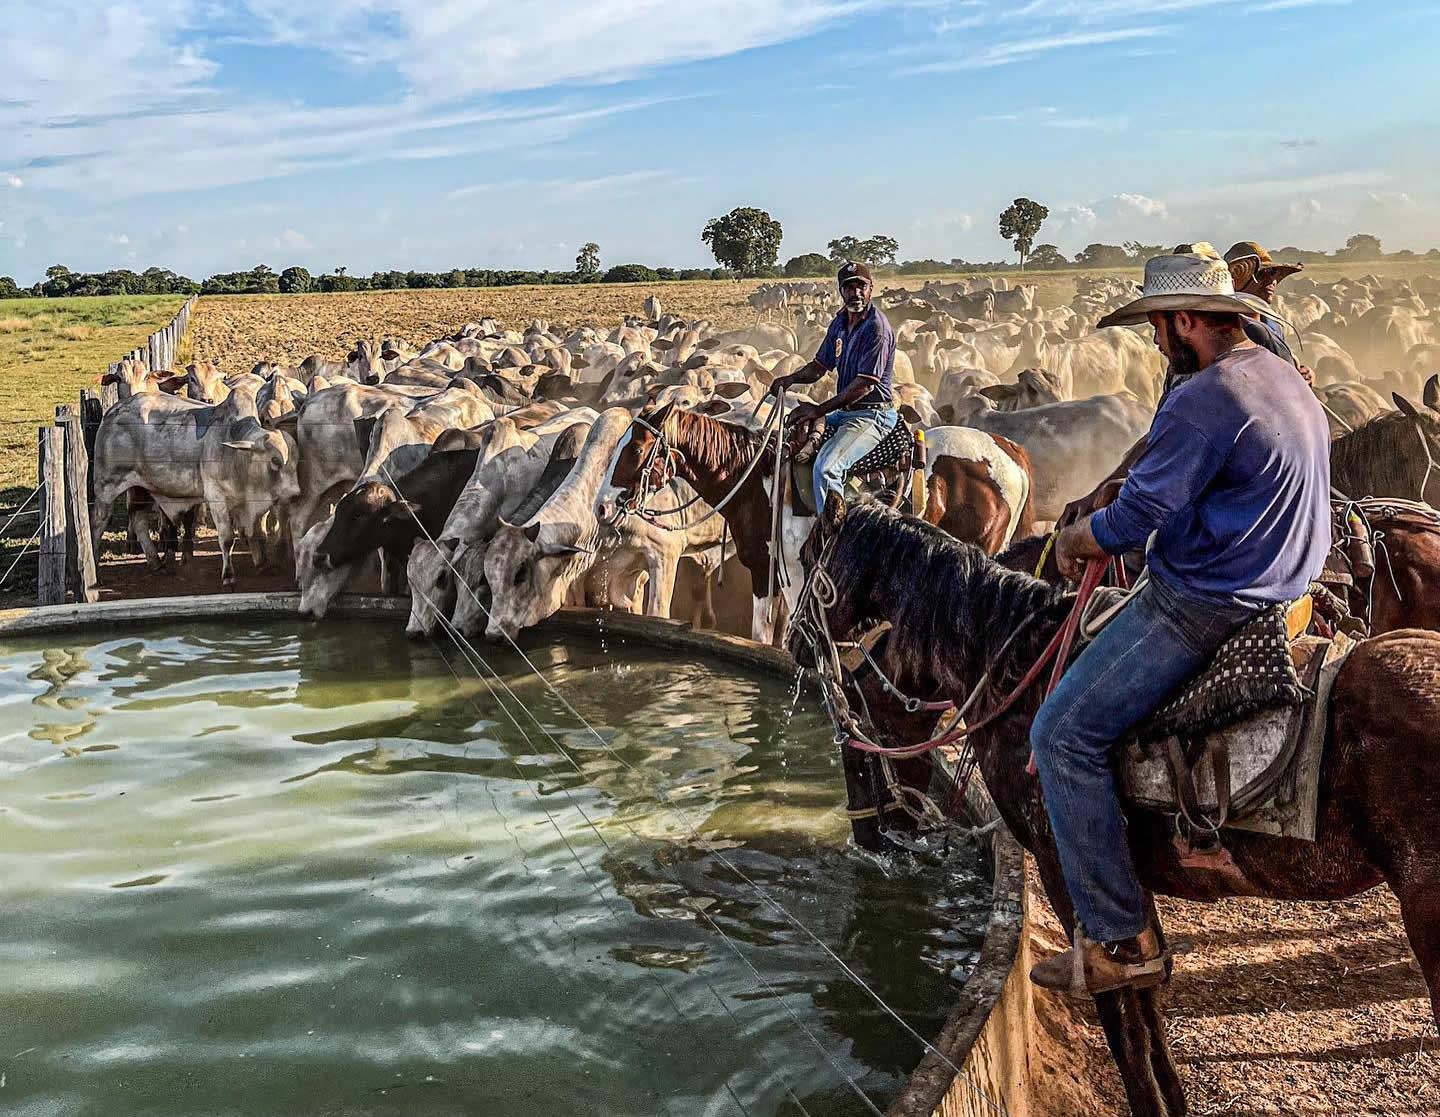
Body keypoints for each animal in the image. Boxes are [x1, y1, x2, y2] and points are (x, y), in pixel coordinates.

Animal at [596, 403, 1036, 644]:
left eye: (636, 449)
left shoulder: (796, 573)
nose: (601, 507)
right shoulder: (763, 569)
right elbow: (763, 634)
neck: (759, 480)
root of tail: (1009, 450)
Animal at [789, 500, 1440, 1117]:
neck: (1010, 665)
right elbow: (1147, 1001)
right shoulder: (1128, 882)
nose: (795, 639)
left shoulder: (1066, 868)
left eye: (855, 725)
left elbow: (1119, 1011)